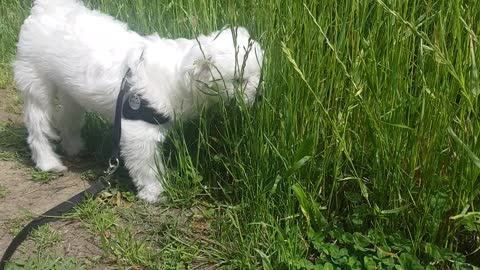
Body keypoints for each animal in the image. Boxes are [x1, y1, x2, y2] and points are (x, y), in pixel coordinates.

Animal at [15, 0, 264, 202]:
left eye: (258, 75)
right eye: (239, 80)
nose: (260, 96)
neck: (177, 77)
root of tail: (46, 8)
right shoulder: (139, 132)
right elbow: (147, 166)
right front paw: (154, 192)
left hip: (71, 93)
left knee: (68, 119)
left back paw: (74, 147)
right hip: (37, 85)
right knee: (38, 127)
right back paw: (48, 161)